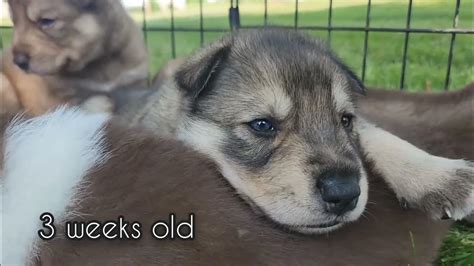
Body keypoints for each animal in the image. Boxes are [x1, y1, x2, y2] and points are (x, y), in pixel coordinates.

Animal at [0, 0, 148, 115]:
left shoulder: (135, 83)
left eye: (47, 21)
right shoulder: (63, 100)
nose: (18, 62)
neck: (97, 63)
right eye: (14, 22)